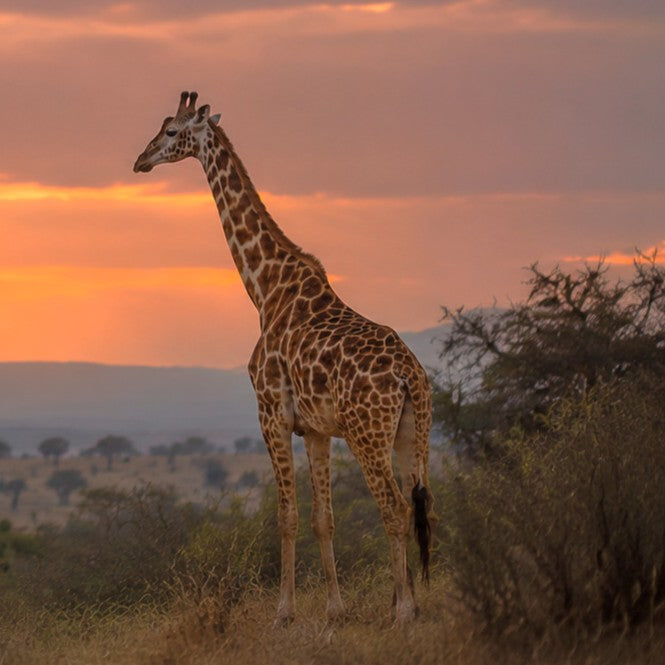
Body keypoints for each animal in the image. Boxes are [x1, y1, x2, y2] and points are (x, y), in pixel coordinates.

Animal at [133, 91, 434, 625]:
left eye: (170, 131)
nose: (140, 161)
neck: (264, 288)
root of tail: (408, 377)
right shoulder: (315, 428)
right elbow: (322, 519)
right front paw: (335, 609)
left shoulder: (270, 412)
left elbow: (286, 517)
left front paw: (284, 612)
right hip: (411, 435)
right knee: (422, 505)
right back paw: (414, 602)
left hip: (368, 436)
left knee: (395, 508)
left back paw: (401, 610)